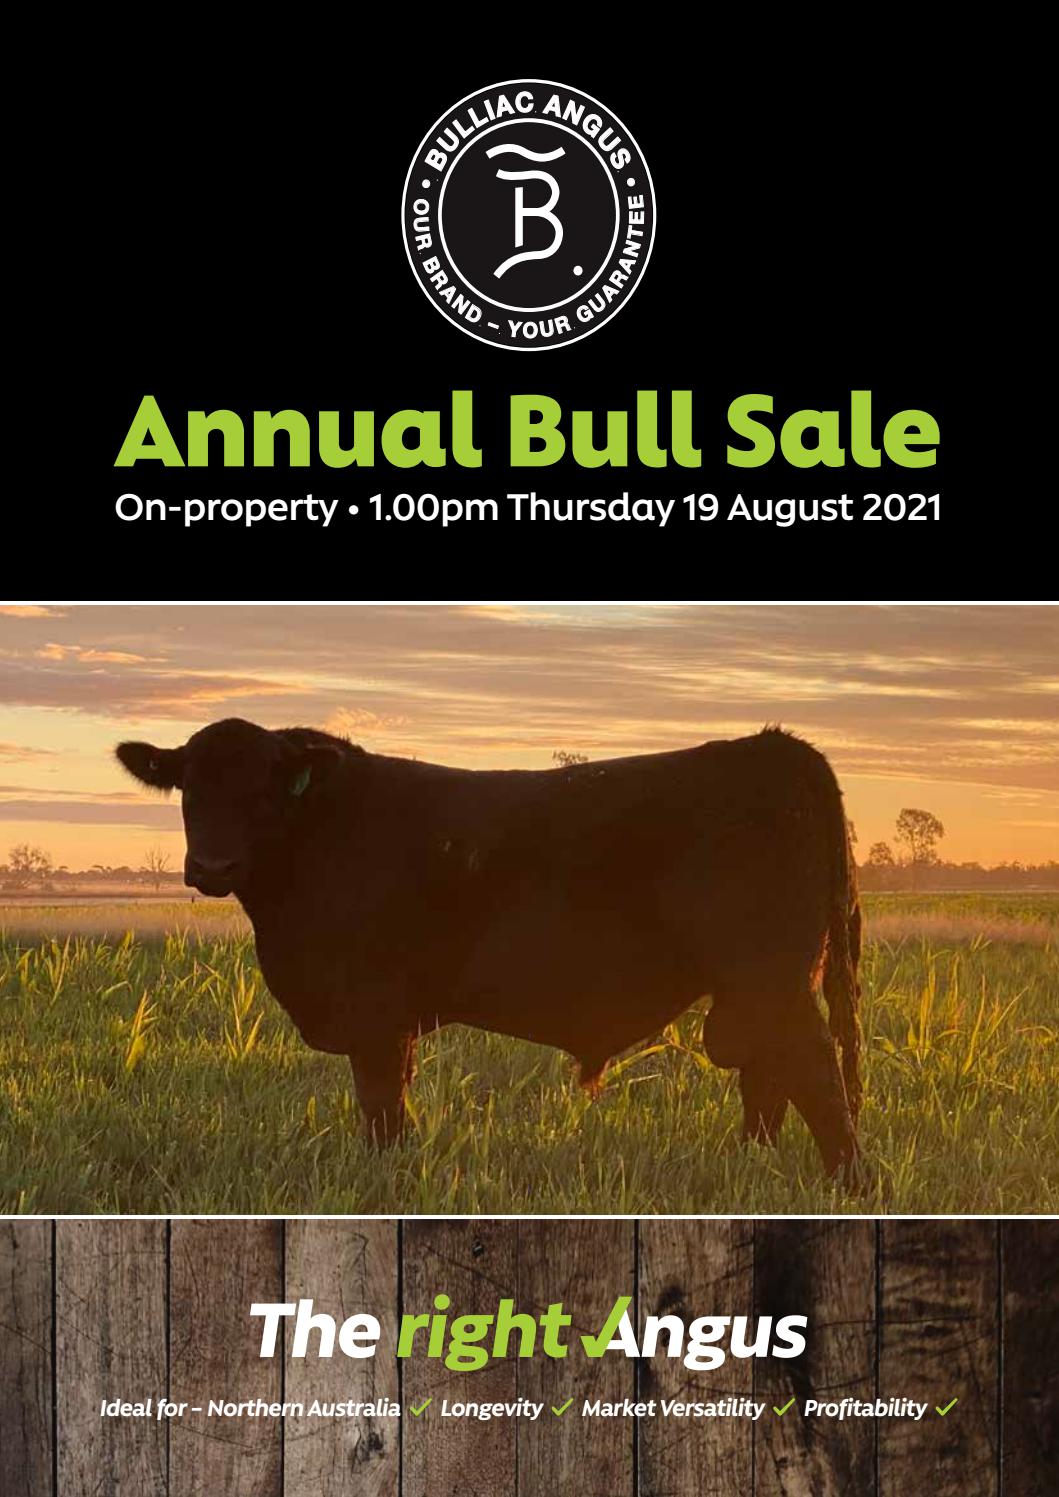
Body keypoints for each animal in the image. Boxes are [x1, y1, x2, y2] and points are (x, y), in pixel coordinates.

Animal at [116, 719, 862, 1175]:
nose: (211, 865)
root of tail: (773, 746)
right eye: (189, 787)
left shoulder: (374, 1012)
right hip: (763, 984)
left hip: (770, 977)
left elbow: (381, 1107)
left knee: (814, 1076)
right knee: (768, 1076)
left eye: (264, 790)